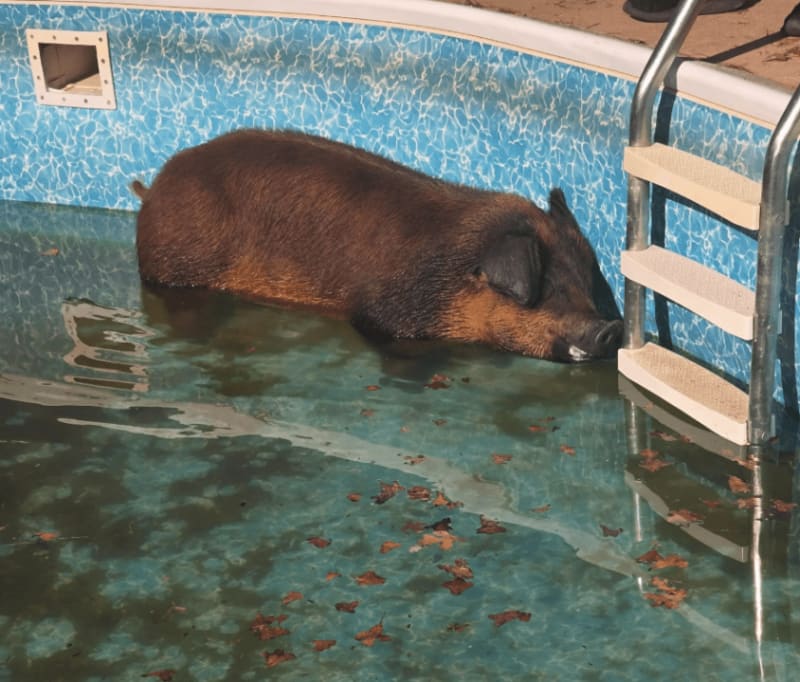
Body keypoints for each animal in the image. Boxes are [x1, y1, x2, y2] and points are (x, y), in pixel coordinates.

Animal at [133, 129, 621, 362]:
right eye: (550, 289)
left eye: (587, 283)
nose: (610, 327)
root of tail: (153, 188)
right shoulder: (383, 315)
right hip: (176, 265)